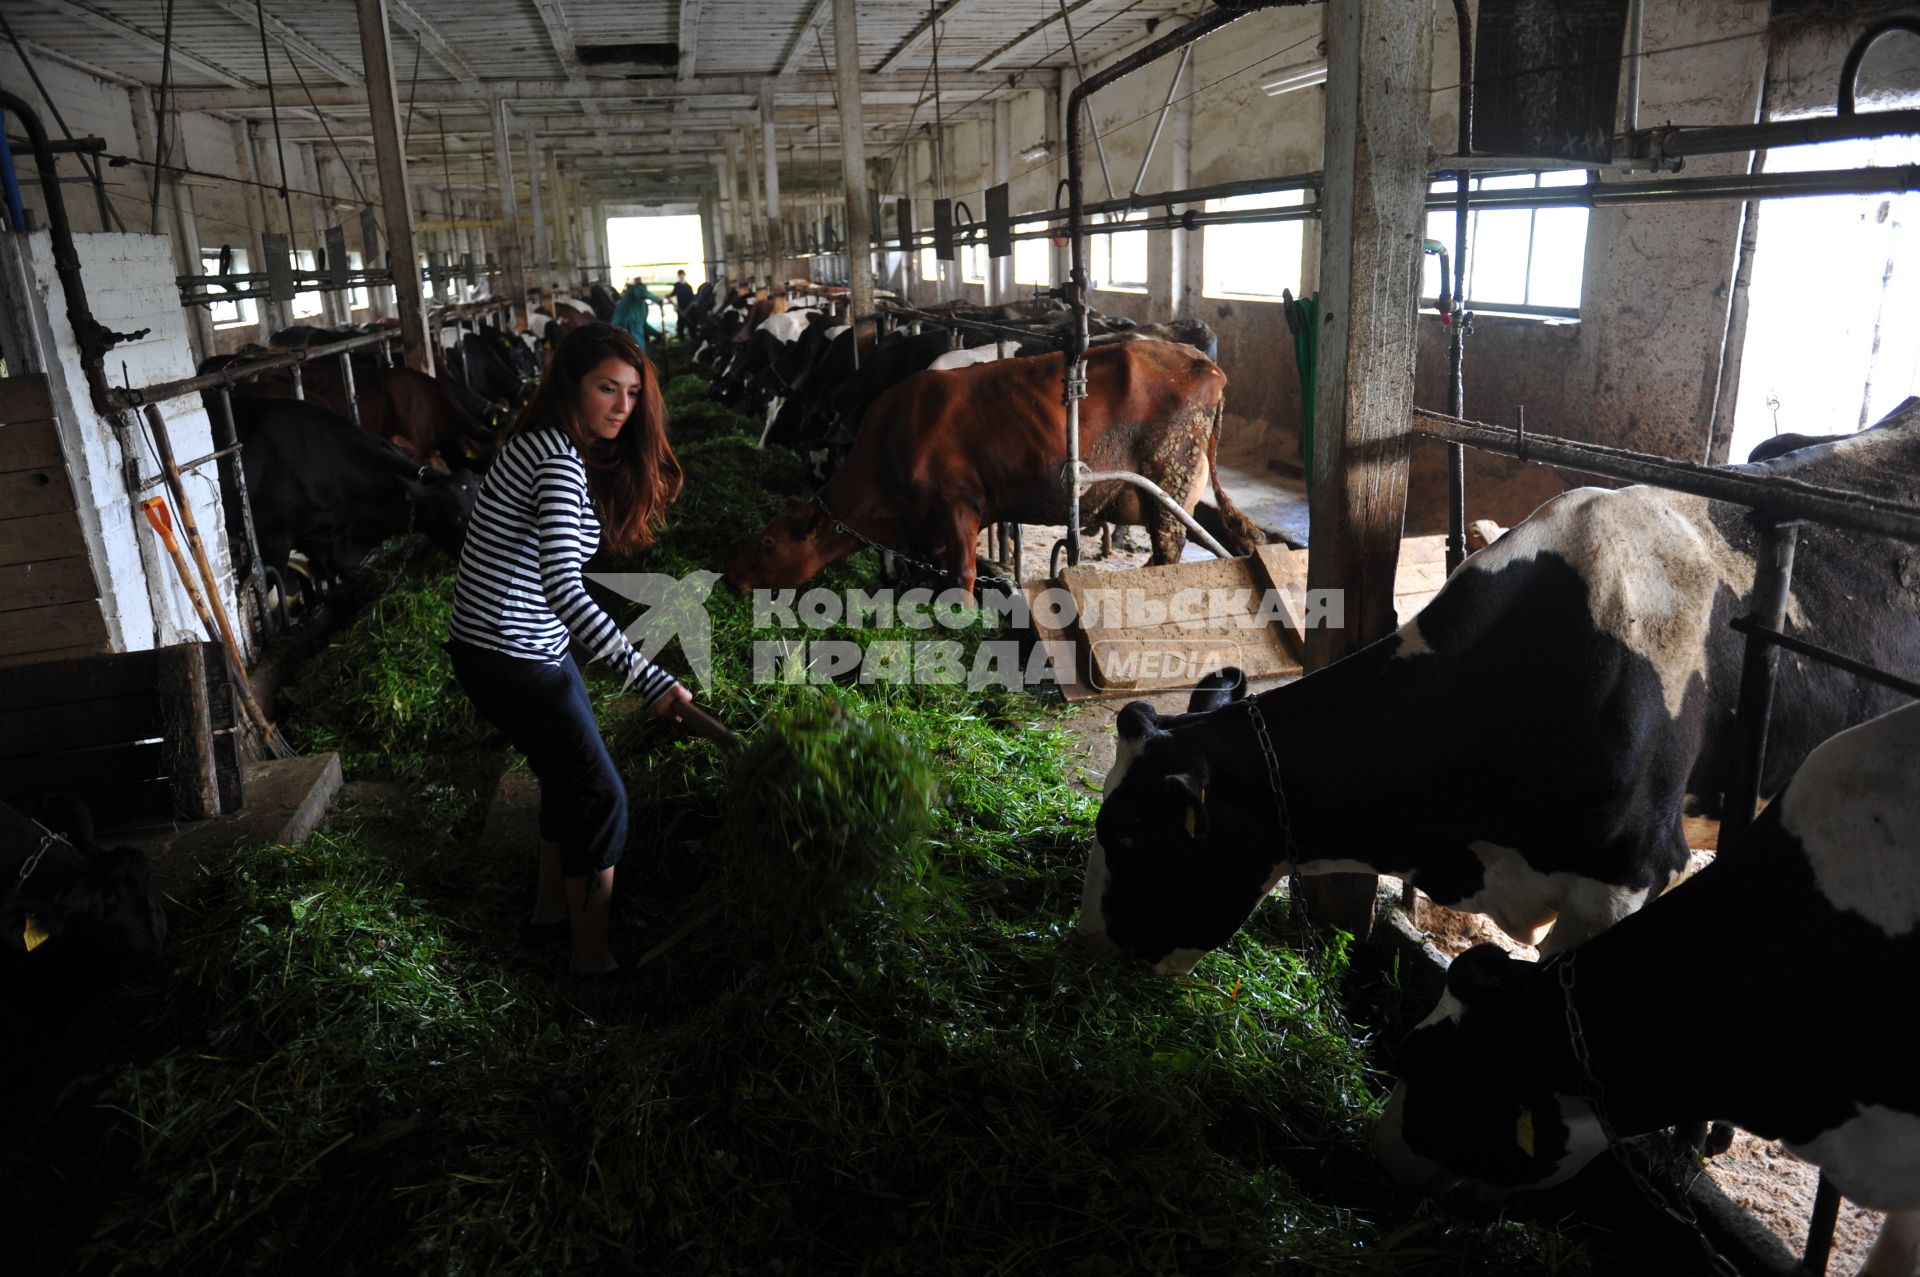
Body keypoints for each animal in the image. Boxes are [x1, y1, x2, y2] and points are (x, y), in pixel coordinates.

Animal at [725, 337, 1267, 599]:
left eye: (767, 542)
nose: (729, 576)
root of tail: (1202, 363)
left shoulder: (959, 505)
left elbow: (963, 573)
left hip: (1169, 483)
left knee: (1170, 552)